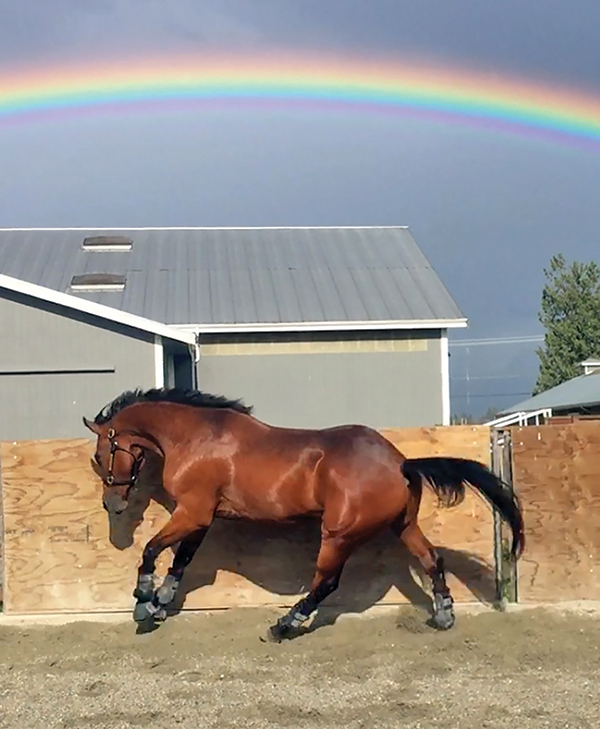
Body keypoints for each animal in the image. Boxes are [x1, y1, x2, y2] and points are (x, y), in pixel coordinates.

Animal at [83, 387, 524, 641]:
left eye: (100, 456)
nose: (112, 504)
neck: (196, 437)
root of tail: (401, 463)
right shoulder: (201, 517)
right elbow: (181, 561)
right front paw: (159, 603)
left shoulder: (193, 512)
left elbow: (152, 550)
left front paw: (143, 599)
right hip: (403, 525)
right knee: (432, 560)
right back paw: (444, 615)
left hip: (339, 533)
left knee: (326, 582)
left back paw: (284, 625)